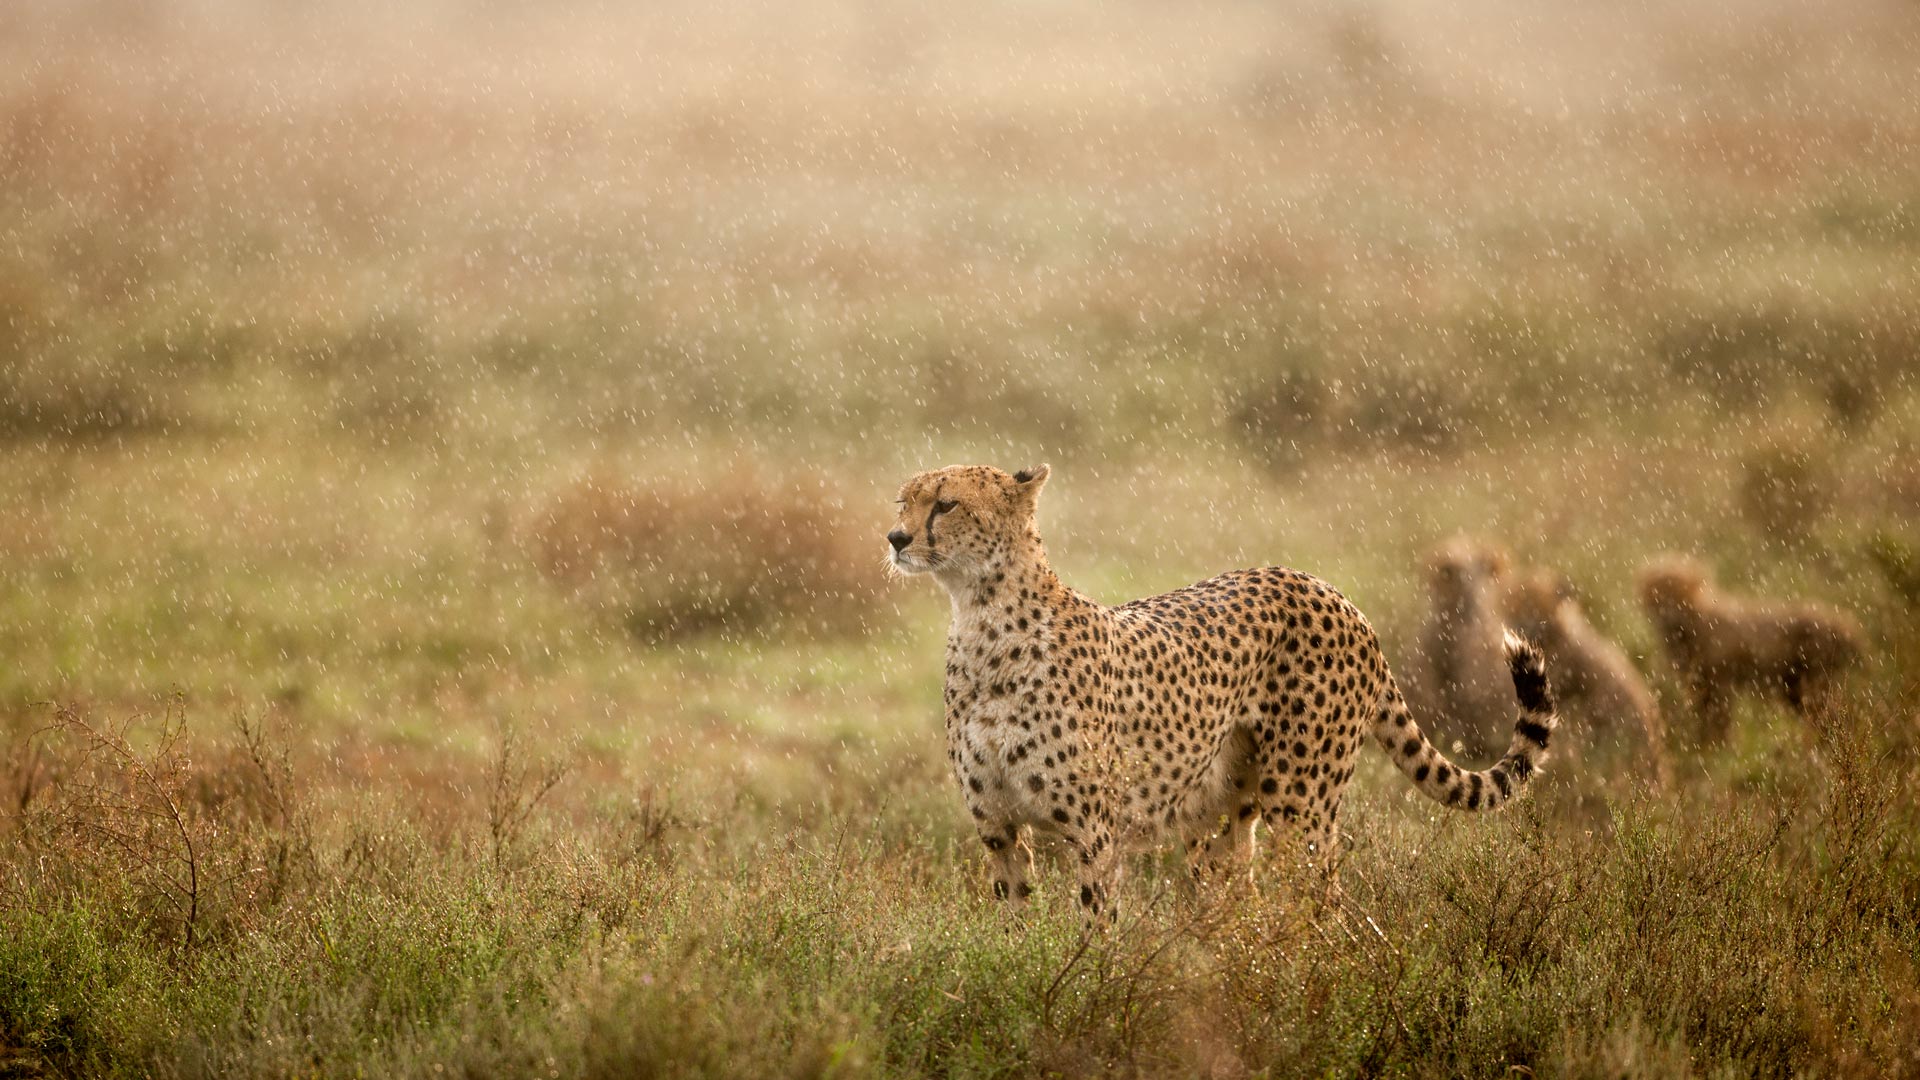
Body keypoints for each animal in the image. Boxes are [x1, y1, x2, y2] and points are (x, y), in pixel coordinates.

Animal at [883, 463, 1559, 914]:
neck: (980, 617)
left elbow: (1095, 928)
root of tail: (1330, 589)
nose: (896, 539)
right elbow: (1014, 923)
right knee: (1241, 905)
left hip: (1301, 801)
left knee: (1323, 907)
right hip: (1217, 818)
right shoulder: (997, 829)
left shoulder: (1096, 833)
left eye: (945, 505)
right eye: (903, 502)